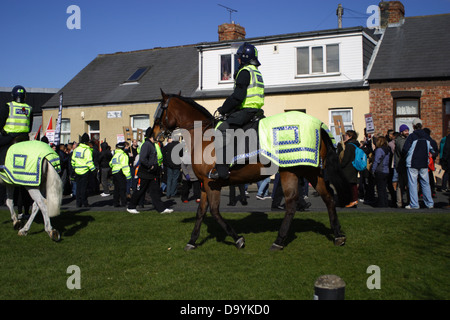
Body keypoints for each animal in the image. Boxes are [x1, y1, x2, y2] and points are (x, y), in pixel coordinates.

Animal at [153, 91, 350, 251]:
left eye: (160, 110)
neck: (203, 135)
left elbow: (214, 211)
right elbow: (200, 212)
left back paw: (279, 240)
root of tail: (319, 124)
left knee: (293, 203)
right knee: (326, 198)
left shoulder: (211, 183)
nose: (153, 133)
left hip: (292, 170)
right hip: (308, 171)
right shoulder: (204, 183)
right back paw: (337, 235)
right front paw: (192, 241)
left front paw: (238, 239)